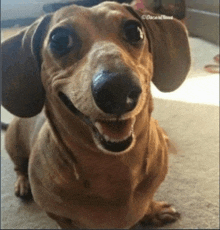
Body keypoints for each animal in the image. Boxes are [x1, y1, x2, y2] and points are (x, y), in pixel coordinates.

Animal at [1, 1, 190, 228]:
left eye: (135, 31)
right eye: (59, 40)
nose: (118, 89)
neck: (114, 165)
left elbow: (146, 202)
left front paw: (153, 211)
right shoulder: (57, 214)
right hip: (14, 144)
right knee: (18, 167)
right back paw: (23, 183)